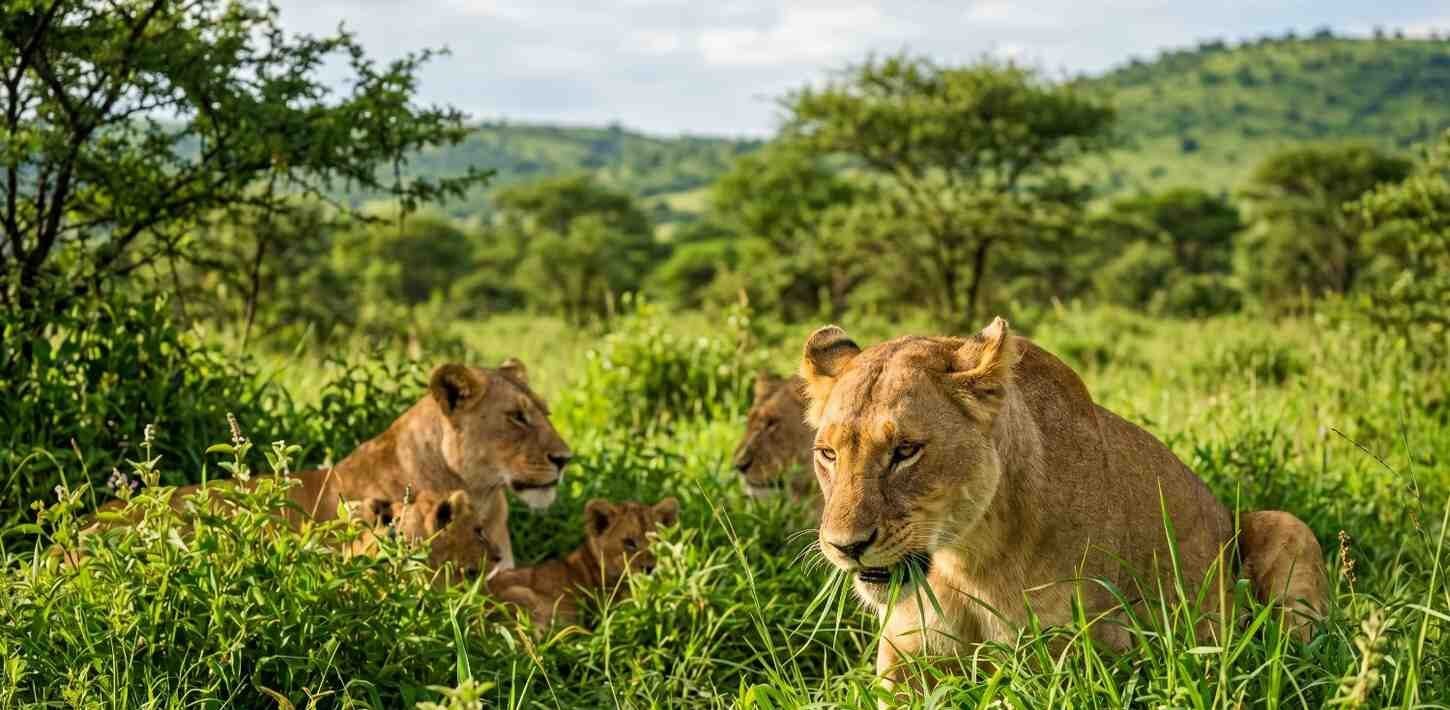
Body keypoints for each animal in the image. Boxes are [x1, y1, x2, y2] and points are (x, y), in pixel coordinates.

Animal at [799, 317, 1327, 688]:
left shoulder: (1094, 655)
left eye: (906, 451)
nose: (845, 546)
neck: (967, 559)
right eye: (828, 454)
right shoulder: (903, 659)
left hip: (1286, 525)